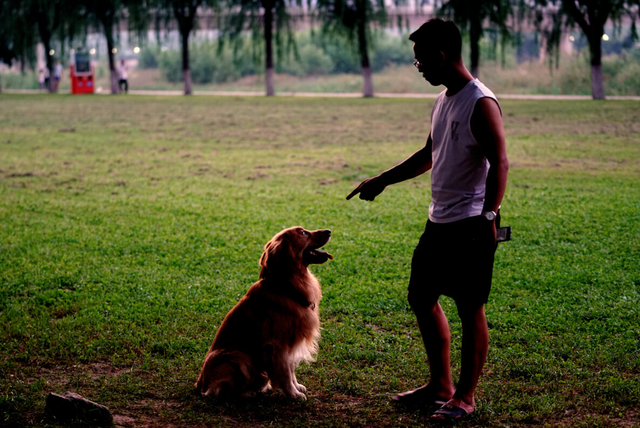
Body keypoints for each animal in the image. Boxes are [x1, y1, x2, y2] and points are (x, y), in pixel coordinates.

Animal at [195, 226, 332, 400]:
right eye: (303, 233)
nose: (329, 231)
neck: (287, 286)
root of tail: (199, 384)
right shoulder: (276, 345)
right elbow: (285, 373)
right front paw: (293, 394)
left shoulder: (290, 343)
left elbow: (290, 369)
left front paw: (296, 387)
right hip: (239, 357)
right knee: (220, 391)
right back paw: (248, 393)